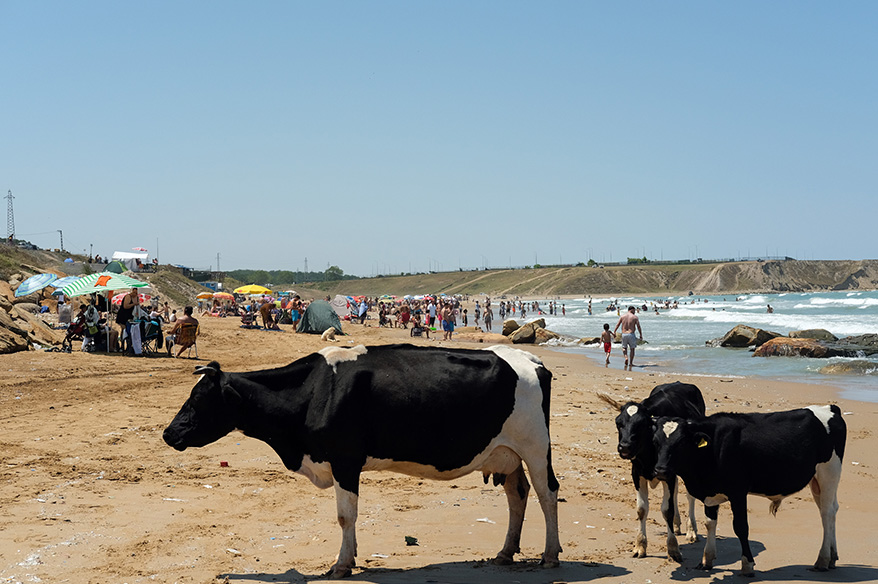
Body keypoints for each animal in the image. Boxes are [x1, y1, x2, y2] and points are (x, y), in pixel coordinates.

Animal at [163, 344, 564, 576]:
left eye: (199, 399)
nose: (169, 433)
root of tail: (530, 359)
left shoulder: (345, 460)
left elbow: (345, 515)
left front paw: (341, 563)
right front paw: (351, 556)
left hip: (535, 446)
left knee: (547, 493)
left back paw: (550, 555)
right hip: (507, 453)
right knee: (517, 494)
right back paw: (505, 553)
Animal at [600, 380, 708, 564]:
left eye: (642, 425)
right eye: (618, 423)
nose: (625, 447)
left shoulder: (668, 474)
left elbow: (667, 510)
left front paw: (673, 549)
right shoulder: (637, 473)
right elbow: (642, 509)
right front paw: (640, 546)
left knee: (689, 496)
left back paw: (691, 530)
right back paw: (677, 524)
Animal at [656, 404, 848, 576]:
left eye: (681, 442)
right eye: (655, 440)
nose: (660, 470)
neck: (714, 446)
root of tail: (829, 408)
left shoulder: (738, 492)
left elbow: (741, 527)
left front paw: (747, 565)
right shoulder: (711, 493)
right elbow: (710, 523)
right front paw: (706, 560)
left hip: (829, 472)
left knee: (827, 513)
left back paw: (823, 559)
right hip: (816, 482)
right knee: (832, 510)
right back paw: (832, 556)